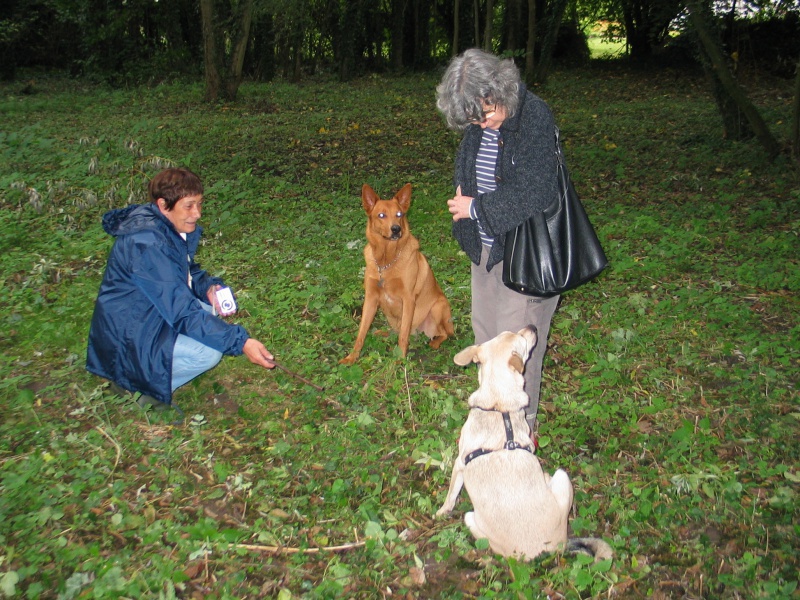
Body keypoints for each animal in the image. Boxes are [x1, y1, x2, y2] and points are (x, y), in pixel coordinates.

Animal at [340, 183, 454, 364]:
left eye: (399, 214)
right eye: (381, 215)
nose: (396, 229)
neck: (386, 262)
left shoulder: (408, 299)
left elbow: (403, 335)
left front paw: (400, 359)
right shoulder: (371, 298)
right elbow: (361, 332)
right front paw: (352, 357)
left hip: (438, 307)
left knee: (444, 333)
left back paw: (435, 342)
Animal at [434, 326, 608, 560]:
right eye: (522, 340)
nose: (532, 327)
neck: (498, 405)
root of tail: (547, 550)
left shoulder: (459, 463)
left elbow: (451, 493)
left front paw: (443, 510)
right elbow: (452, 494)